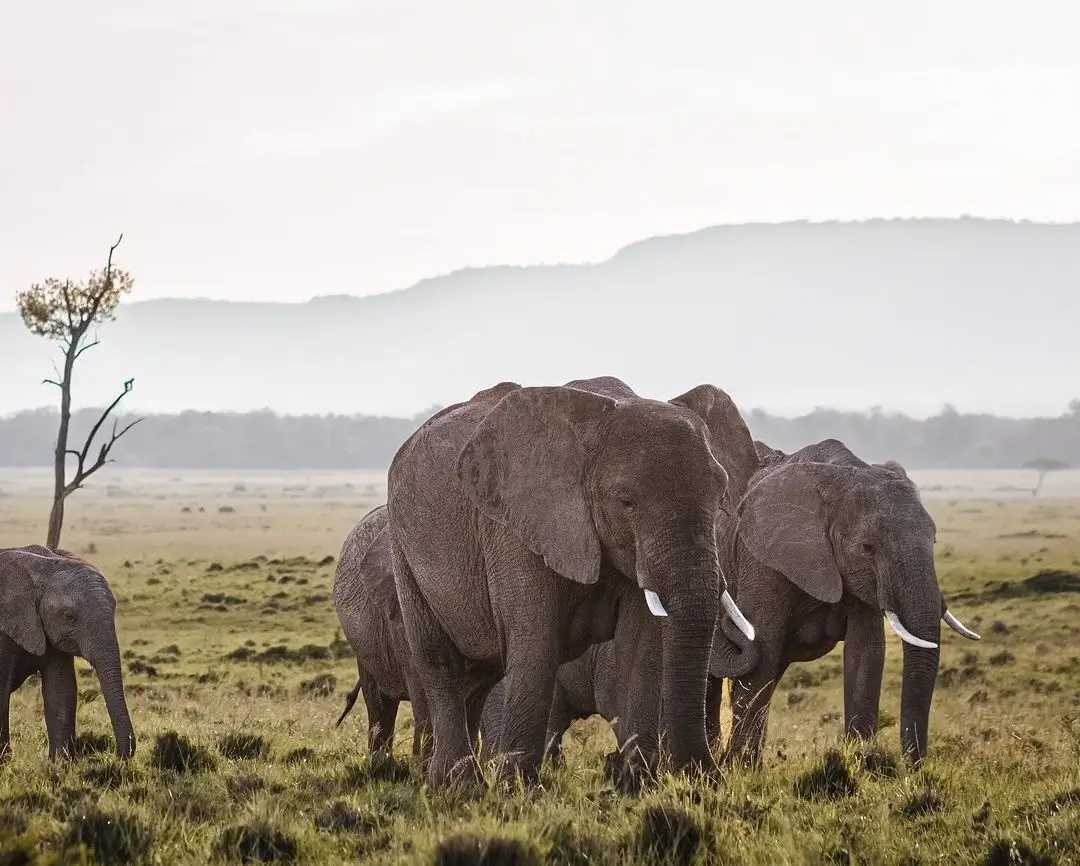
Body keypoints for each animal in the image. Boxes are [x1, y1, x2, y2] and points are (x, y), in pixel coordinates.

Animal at [386, 373, 751, 786]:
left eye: (721, 495)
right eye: (625, 502)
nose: (706, 777)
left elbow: (640, 645)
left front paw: (637, 785)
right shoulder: (516, 527)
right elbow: (537, 641)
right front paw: (518, 788)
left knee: (480, 674)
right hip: (404, 548)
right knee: (440, 660)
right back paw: (460, 785)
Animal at [717, 438, 989, 764]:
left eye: (934, 540)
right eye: (867, 548)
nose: (914, 765)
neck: (839, 476)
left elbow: (866, 653)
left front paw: (862, 761)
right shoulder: (760, 560)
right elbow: (762, 652)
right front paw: (740, 767)